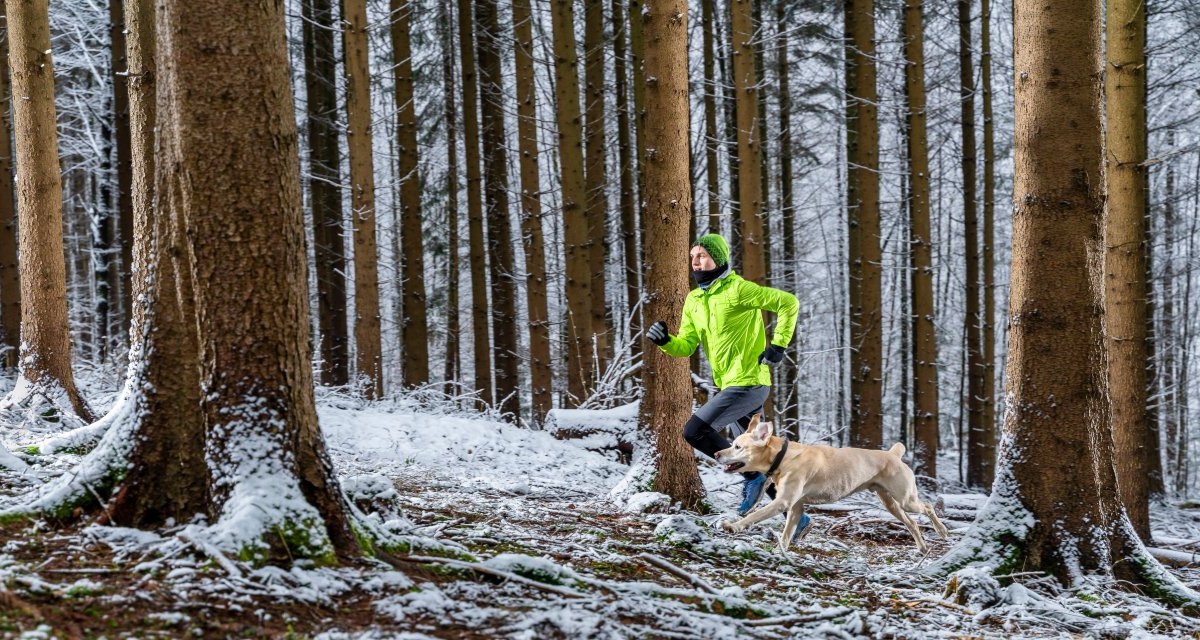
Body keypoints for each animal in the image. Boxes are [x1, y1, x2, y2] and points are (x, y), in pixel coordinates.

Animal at [715, 413, 950, 554]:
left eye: (737, 446)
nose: (717, 454)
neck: (783, 457)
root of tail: (893, 455)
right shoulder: (796, 507)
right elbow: (786, 534)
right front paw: (780, 552)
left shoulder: (783, 502)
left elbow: (754, 516)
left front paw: (733, 526)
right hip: (890, 503)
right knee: (911, 523)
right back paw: (922, 547)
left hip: (906, 499)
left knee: (928, 507)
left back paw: (942, 531)